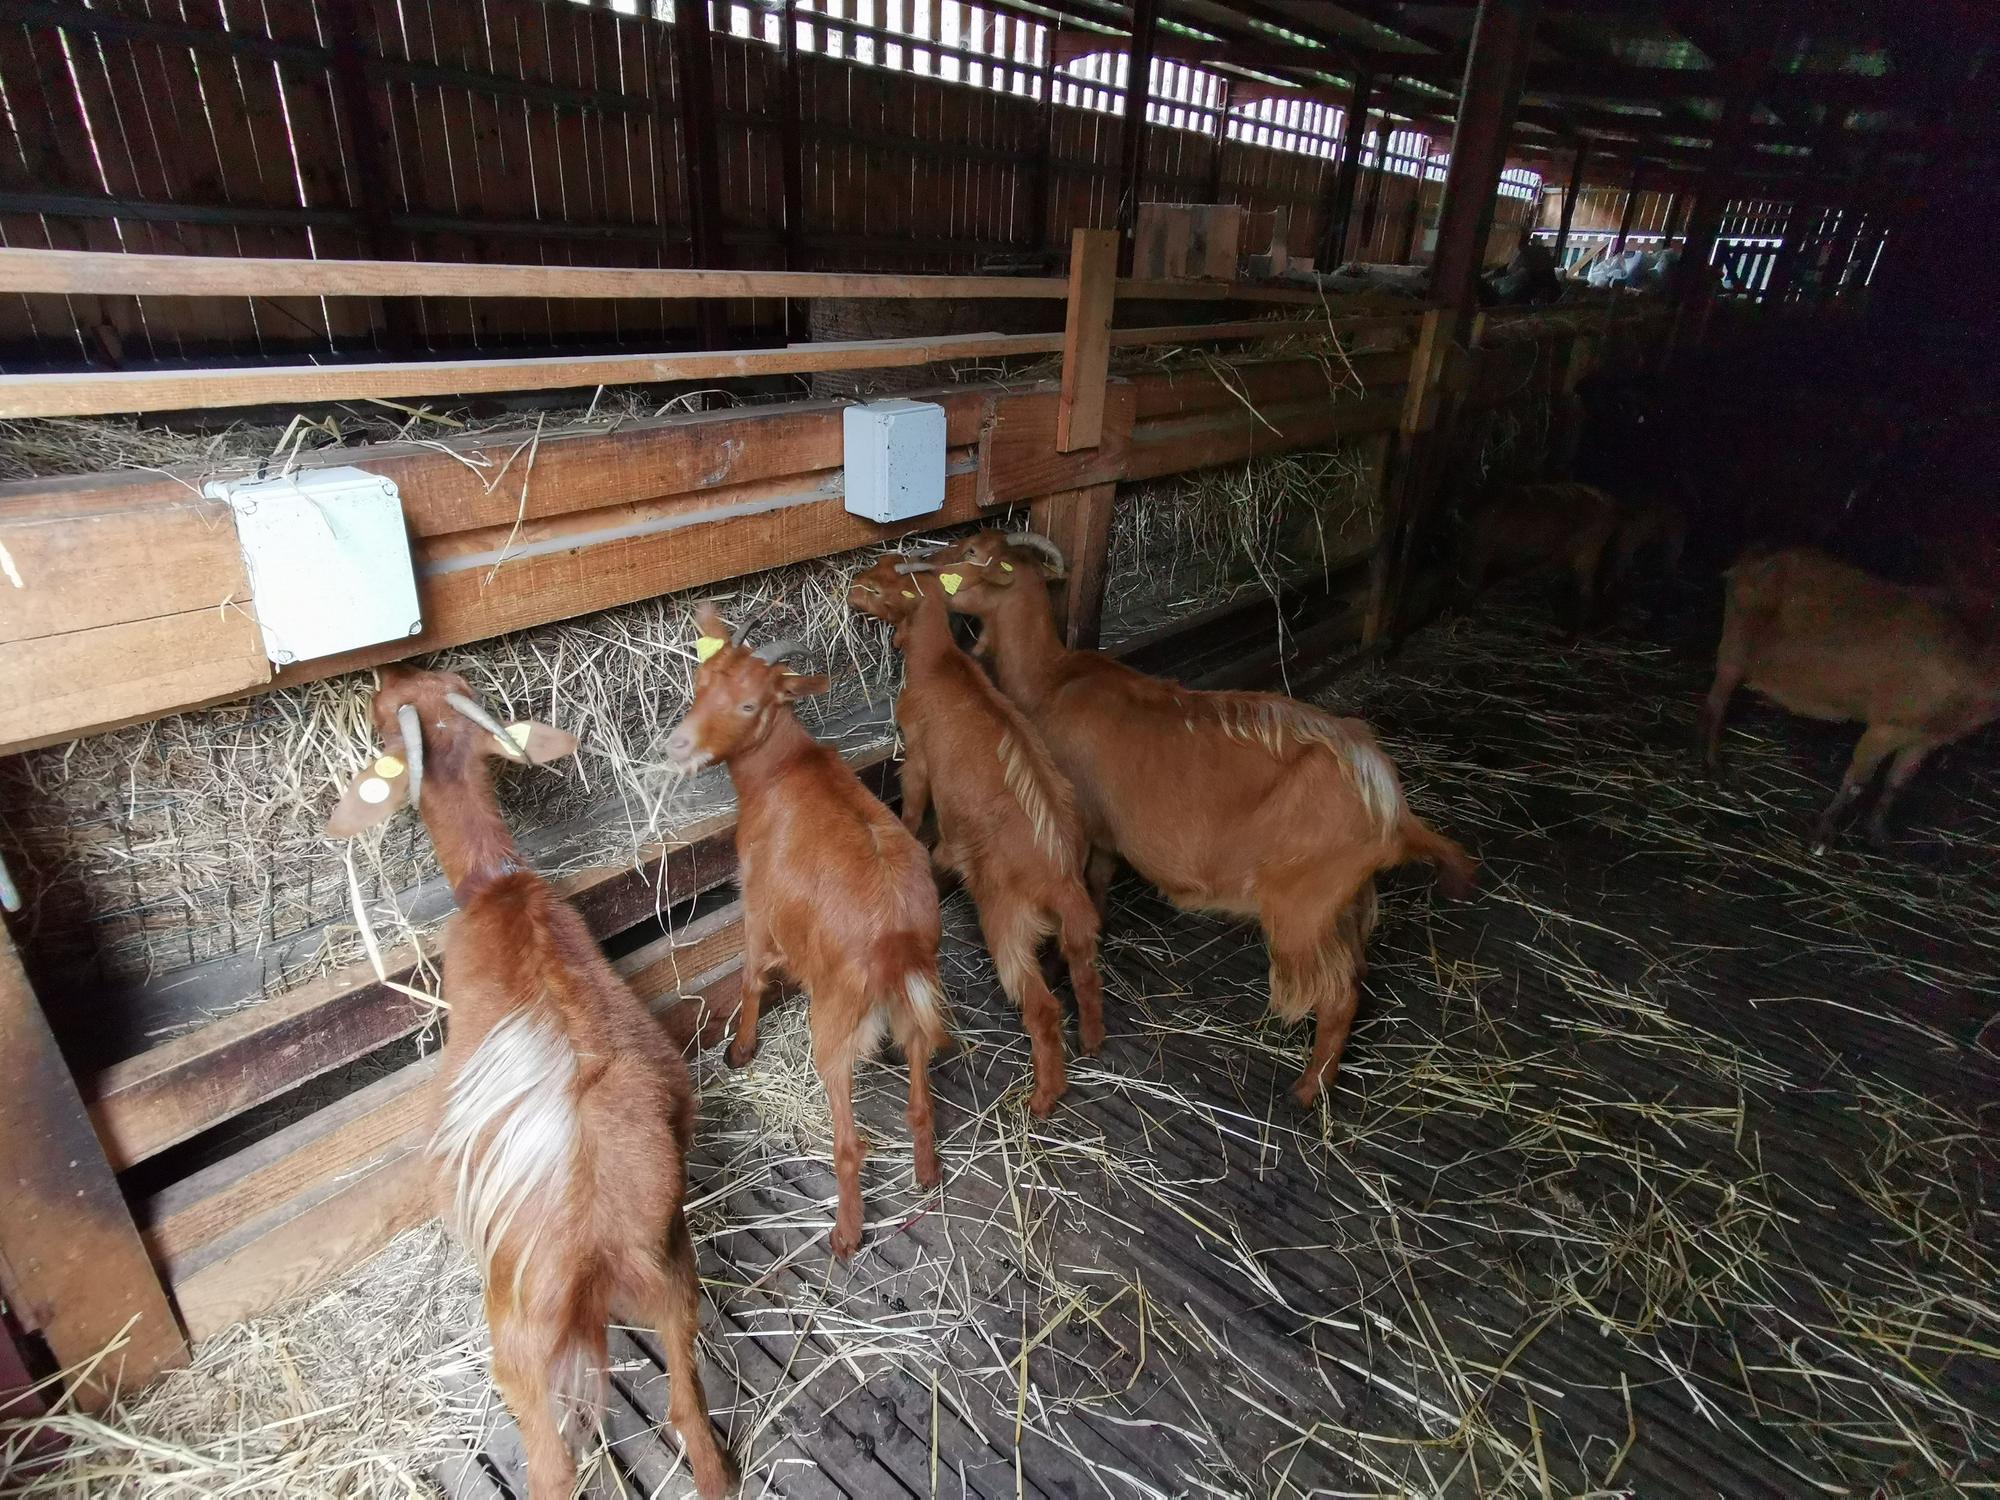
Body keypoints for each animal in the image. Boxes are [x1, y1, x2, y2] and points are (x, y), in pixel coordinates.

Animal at [324, 668, 740, 1500]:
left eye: (386, 722)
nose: (385, 677)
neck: (496, 881)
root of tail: (598, 1245)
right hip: (674, 1275)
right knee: (690, 1418)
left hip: (519, 1336)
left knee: (550, 1464)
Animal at [660, 604, 948, 1264]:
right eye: (701, 684)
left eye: (749, 704)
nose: (677, 745)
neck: (782, 770)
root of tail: (898, 944)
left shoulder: (759, 904)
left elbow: (749, 976)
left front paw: (740, 1050)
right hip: (917, 1009)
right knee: (921, 1104)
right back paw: (926, 1174)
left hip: (835, 1021)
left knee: (850, 1142)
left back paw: (845, 1233)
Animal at [848, 556, 1112, 1120]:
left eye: (877, 589)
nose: (850, 589)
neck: (939, 663)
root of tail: (1061, 877)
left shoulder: (918, 759)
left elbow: (913, 805)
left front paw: (907, 837)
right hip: (1073, 923)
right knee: (1084, 967)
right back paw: (1092, 1040)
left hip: (1006, 922)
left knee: (1042, 1008)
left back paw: (1043, 1098)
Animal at [916, 536, 1472, 1112]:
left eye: (971, 552)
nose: (925, 568)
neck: (1051, 677)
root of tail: (1393, 807)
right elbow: (1098, 887)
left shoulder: (1082, 824)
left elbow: (1085, 888)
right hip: (1347, 903)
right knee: (1358, 976)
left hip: (1304, 909)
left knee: (1338, 997)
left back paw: (1305, 1090)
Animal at [1704, 548, 2000, 856]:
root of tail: (1747, 561)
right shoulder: (1887, 725)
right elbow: (1858, 781)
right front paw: (1822, 838)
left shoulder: (1927, 738)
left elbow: (1896, 784)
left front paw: (1878, 835)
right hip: (1734, 647)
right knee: (1716, 704)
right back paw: (1714, 767)